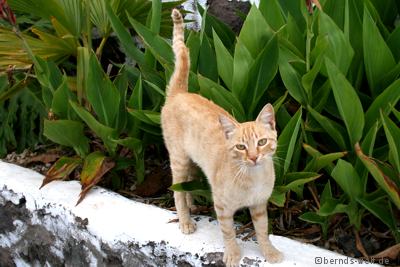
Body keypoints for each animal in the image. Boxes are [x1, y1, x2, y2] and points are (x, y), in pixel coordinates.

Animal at [160, 8, 284, 267]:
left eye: (261, 143)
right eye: (241, 147)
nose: (254, 157)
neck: (252, 178)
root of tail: (180, 93)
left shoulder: (260, 206)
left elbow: (262, 231)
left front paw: (269, 252)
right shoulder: (223, 207)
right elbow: (228, 233)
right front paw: (233, 254)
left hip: (191, 162)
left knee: (187, 184)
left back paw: (192, 205)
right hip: (178, 159)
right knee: (177, 191)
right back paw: (185, 220)